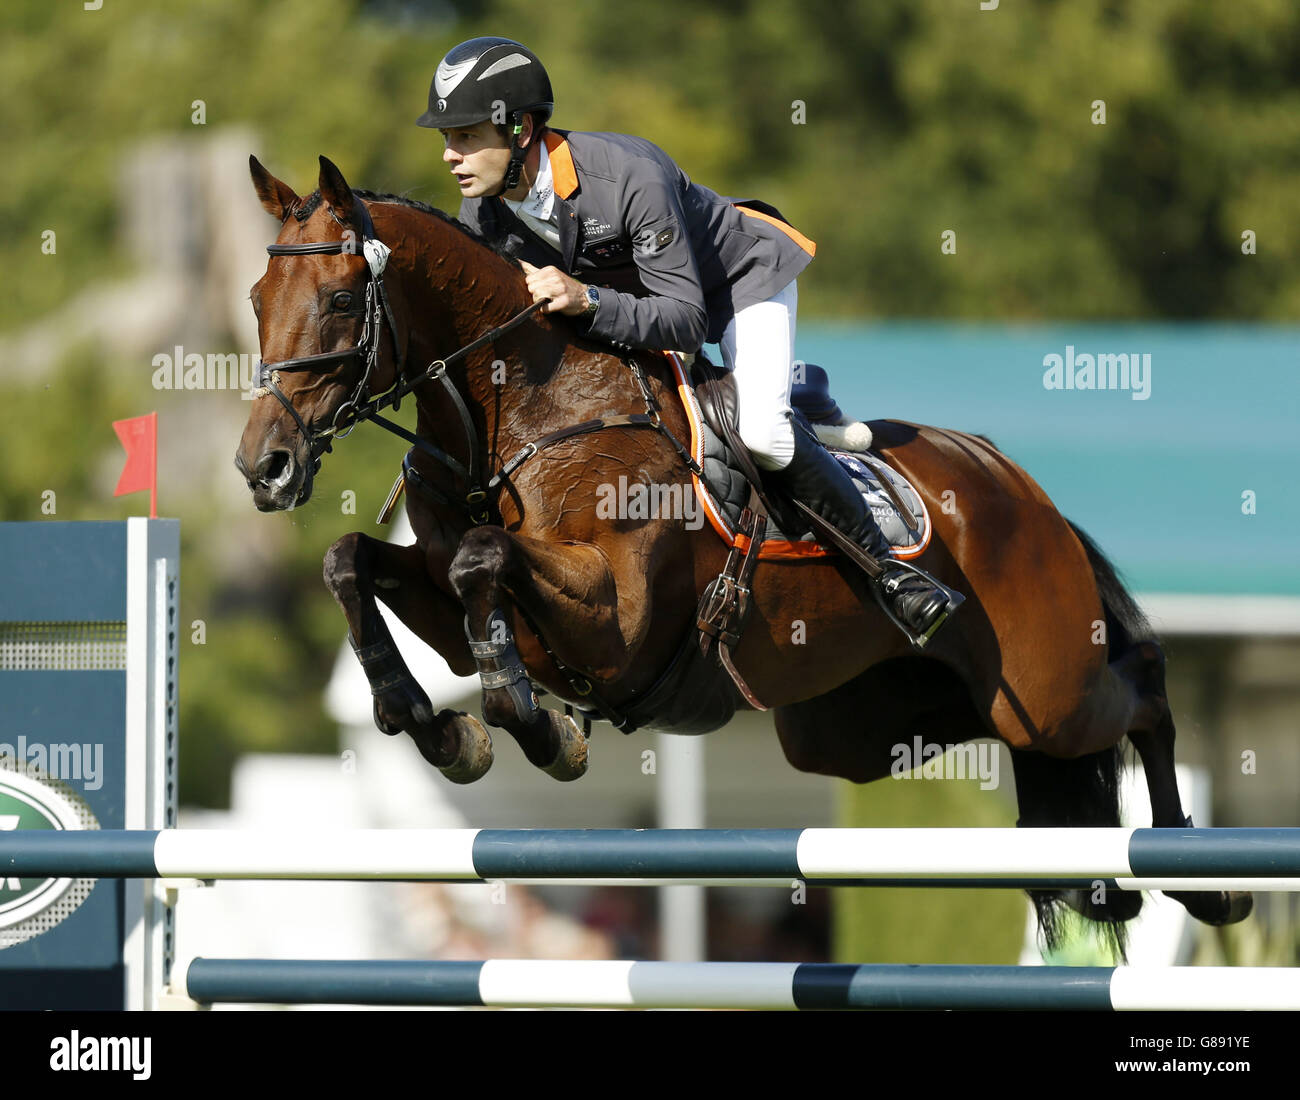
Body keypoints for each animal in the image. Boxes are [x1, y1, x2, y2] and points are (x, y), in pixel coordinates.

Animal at [236, 154, 1251, 954]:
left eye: (339, 300)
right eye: (255, 301)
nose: (263, 466)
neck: (520, 413)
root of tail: (1015, 479)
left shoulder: (616, 623)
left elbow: (483, 559)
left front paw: (543, 733)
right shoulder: (456, 618)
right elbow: (353, 562)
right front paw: (438, 727)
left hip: (1047, 686)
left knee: (1143, 688)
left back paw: (1207, 884)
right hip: (859, 726)